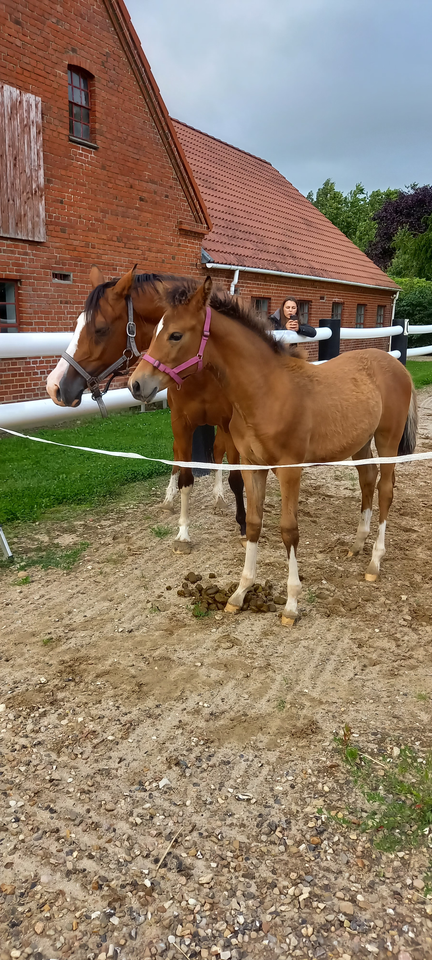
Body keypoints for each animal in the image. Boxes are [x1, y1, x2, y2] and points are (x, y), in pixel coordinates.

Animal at [46, 268, 246, 556]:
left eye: (100, 328)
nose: (55, 387)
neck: (202, 371)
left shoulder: (231, 422)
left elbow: (237, 476)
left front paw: (244, 528)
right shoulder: (180, 423)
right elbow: (185, 475)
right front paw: (182, 535)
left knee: (218, 452)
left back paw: (219, 499)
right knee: (179, 456)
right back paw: (169, 499)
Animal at [129, 274, 418, 628]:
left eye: (175, 334)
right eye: (156, 329)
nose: (137, 384)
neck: (266, 392)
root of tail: (396, 364)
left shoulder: (290, 470)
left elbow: (288, 530)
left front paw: (291, 605)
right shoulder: (253, 466)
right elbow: (254, 523)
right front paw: (240, 593)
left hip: (387, 439)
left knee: (385, 489)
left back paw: (374, 563)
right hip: (360, 443)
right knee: (367, 480)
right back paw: (357, 544)